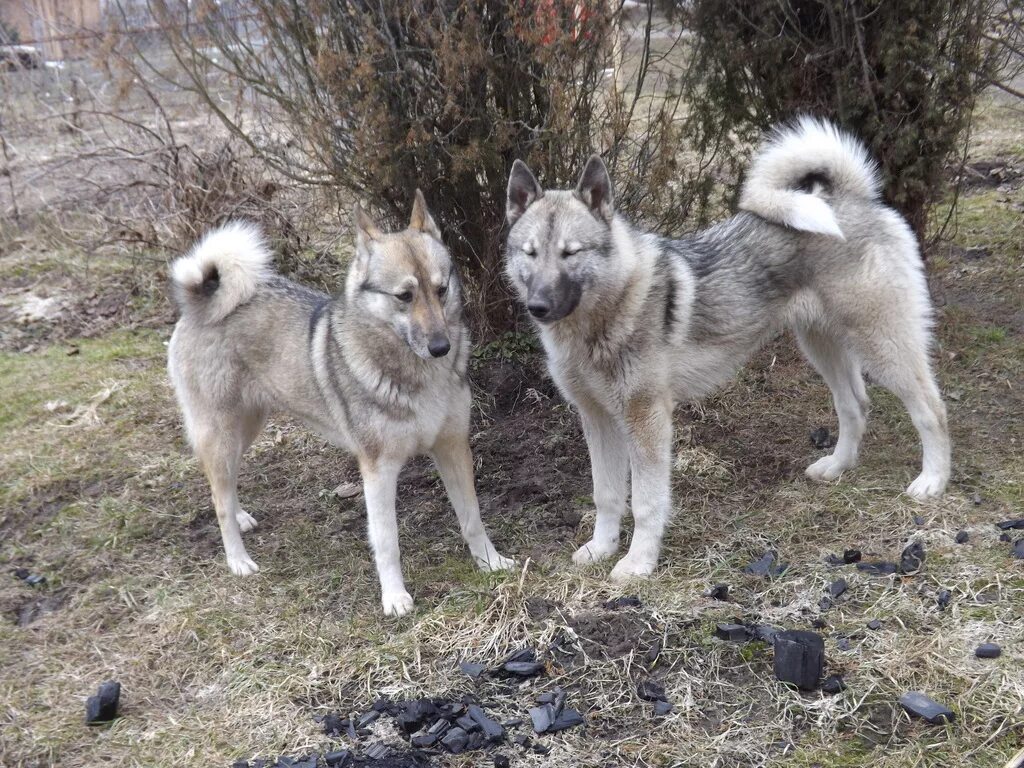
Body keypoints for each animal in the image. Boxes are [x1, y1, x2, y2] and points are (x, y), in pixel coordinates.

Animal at [173, 193, 520, 618]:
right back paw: (237, 558)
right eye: (404, 296)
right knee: (218, 497)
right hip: (222, 432)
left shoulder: (453, 449)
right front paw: (394, 597)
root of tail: (201, 299)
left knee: (225, 483)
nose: (441, 348)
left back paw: (240, 517)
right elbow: (387, 541)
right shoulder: (378, 470)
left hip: (247, 428)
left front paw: (490, 562)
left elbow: (472, 517)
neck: (415, 372)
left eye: (441, 289)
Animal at [503, 117, 950, 581]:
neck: (604, 315)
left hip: (883, 345)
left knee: (931, 409)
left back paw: (932, 480)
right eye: (529, 253)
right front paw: (601, 548)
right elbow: (606, 494)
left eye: (570, 253)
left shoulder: (645, 420)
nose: (538, 306)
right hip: (821, 344)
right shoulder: (598, 420)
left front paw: (638, 562)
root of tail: (852, 198)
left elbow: (645, 502)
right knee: (855, 404)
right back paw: (836, 466)